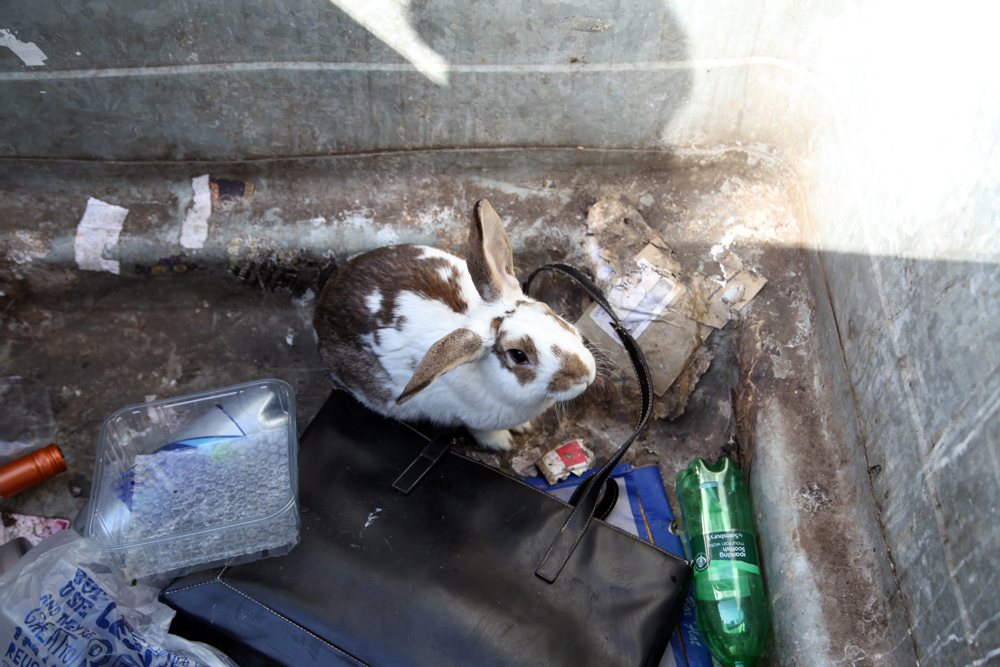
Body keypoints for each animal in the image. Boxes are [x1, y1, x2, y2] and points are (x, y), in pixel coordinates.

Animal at [314, 199, 597, 451]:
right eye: (518, 355)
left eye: (548, 312)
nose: (584, 374)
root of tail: (323, 302)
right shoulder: (468, 416)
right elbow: (481, 431)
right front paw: (502, 442)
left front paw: (523, 426)